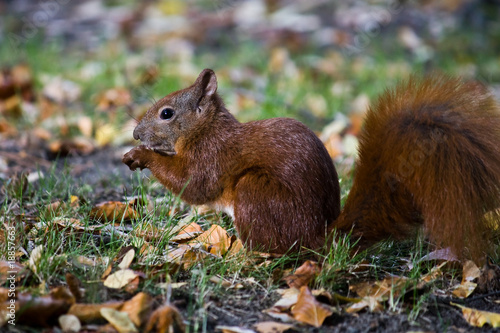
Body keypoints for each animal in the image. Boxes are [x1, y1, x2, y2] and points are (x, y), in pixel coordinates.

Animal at [123, 69, 500, 262]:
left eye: (167, 113)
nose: (136, 133)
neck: (207, 130)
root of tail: (319, 237)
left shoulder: (213, 156)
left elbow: (193, 184)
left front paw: (140, 155)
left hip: (255, 192)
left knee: (274, 251)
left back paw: (240, 256)